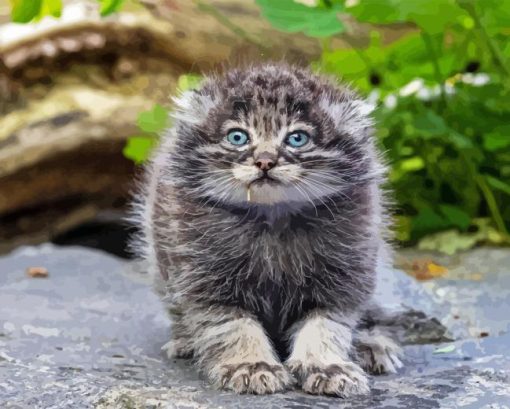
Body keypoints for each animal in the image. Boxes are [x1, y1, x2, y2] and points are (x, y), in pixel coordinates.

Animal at [134, 63, 402, 396]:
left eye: (297, 139)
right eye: (237, 137)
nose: (264, 161)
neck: (273, 220)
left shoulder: (346, 271)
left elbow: (326, 325)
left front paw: (328, 366)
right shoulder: (204, 277)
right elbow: (233, 326)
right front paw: (251, 365)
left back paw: (371, 345)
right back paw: (185, 341)